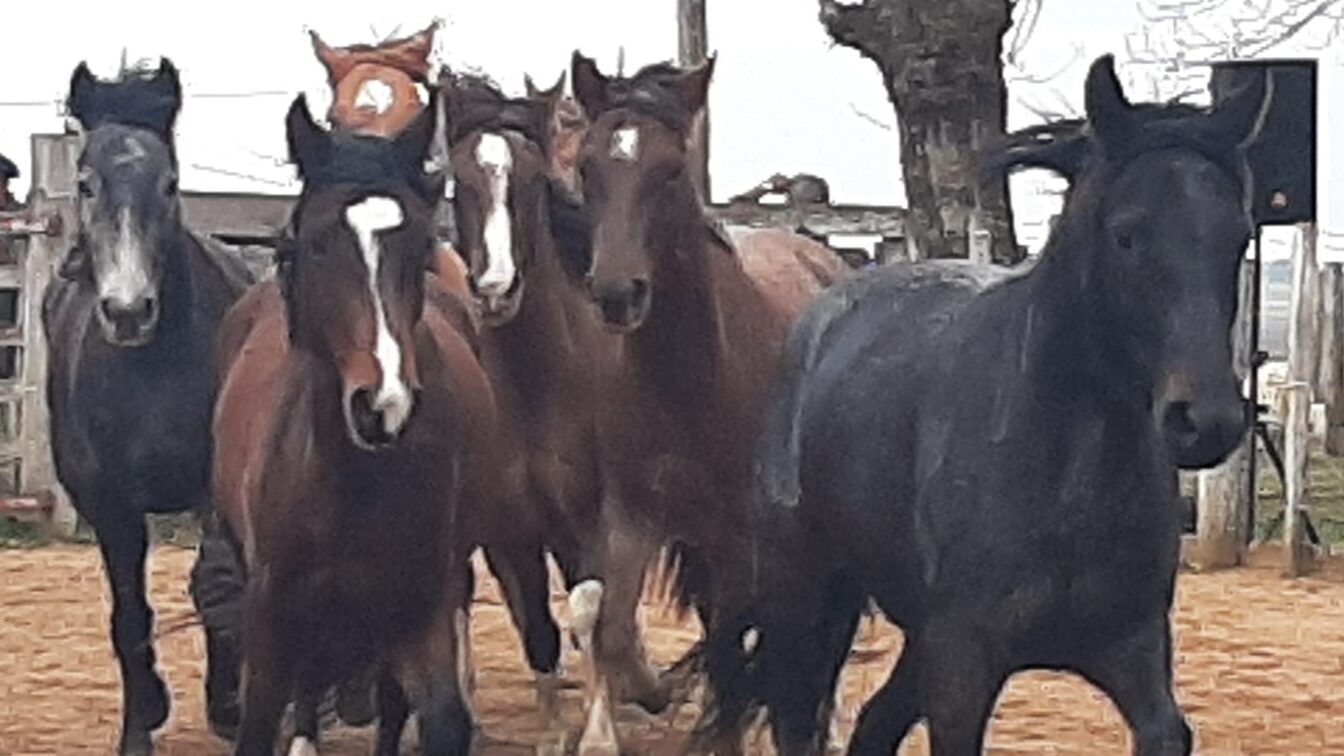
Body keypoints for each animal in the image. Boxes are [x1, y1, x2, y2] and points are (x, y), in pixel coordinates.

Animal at [41, 59, 261, 755]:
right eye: (86, 183)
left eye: (169, 183)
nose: (129, 310)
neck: (149, 373)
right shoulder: (108, 505)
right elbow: (128, 614)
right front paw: (140, 724)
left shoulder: (216, 489)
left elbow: (220, 587)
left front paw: (230, 708)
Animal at [212, 92, 491, 756]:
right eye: (309, 246)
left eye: (419, 248)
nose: (382, 406)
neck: (349, 481)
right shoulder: (274, 614)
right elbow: (264, 716)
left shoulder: (419, 609)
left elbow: (439, 716)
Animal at [560, 52, 845, 754]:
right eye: (588, 167)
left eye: (669, 171)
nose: (617, 294)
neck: (689, 380)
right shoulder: (632, 516)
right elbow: (615, 629)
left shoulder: (742, 537)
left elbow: (734, 652)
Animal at [696, 54, 1268, 755]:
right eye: (1127, 235)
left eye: (1238, 237)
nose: (1206, 420)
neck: (1062, 479)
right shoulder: (963, 670)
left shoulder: (1132, 654)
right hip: (807, 598)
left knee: (875, 722)